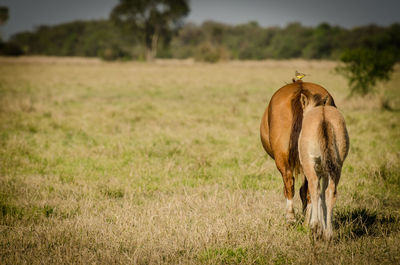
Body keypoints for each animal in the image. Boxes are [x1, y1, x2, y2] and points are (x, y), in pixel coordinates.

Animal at [298, 93, 348, 239]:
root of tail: (323, 117)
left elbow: (316, 195)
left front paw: (317, 226)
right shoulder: (325, 173)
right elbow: (323, 197)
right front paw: (325, 228)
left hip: (310, 165)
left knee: (314, 187)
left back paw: (315, 226)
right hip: (337, 166)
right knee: (330, 192)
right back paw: (329, 234)